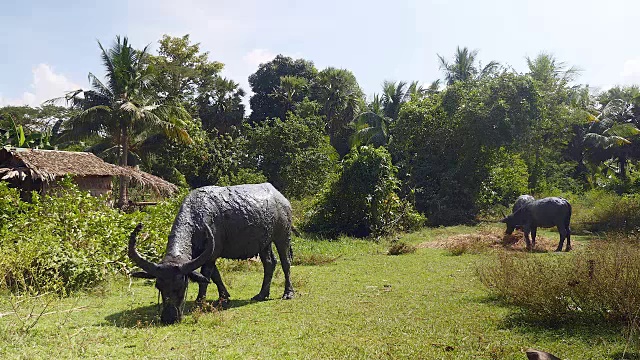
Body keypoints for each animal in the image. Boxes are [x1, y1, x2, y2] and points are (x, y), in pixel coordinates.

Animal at [127, 183, 296, 324]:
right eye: (158, 286)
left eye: (182, 286)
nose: (169, 318)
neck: (197, 217)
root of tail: (281, 198)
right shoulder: (207, 255)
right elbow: (214, 276)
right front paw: (224, 296)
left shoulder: (210, 254)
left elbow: (205, 277)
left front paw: (199, 301)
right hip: (264, 243)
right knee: (269, 263)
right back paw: (261, 294)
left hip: (282, 236)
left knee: (286, 263)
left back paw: (288, 293)